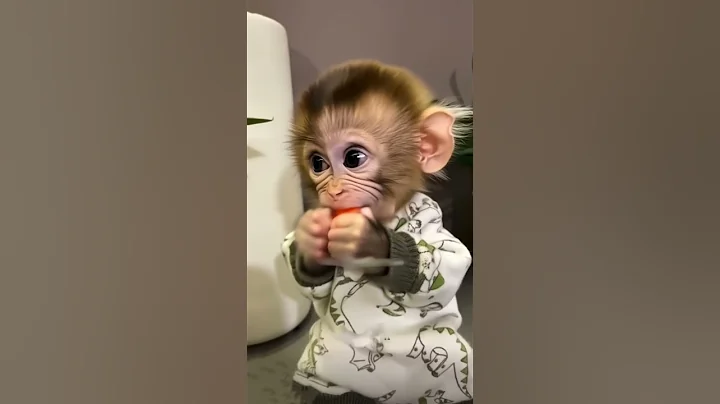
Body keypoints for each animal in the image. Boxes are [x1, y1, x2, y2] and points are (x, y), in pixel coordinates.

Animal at [281, 60, 474, 404]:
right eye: (317, 163)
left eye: (353, 158)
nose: (333, 191)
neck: (387, 215)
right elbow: (314, 285)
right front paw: (310, 238)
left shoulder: (431, 217)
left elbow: (448, 261)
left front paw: (370, 241)